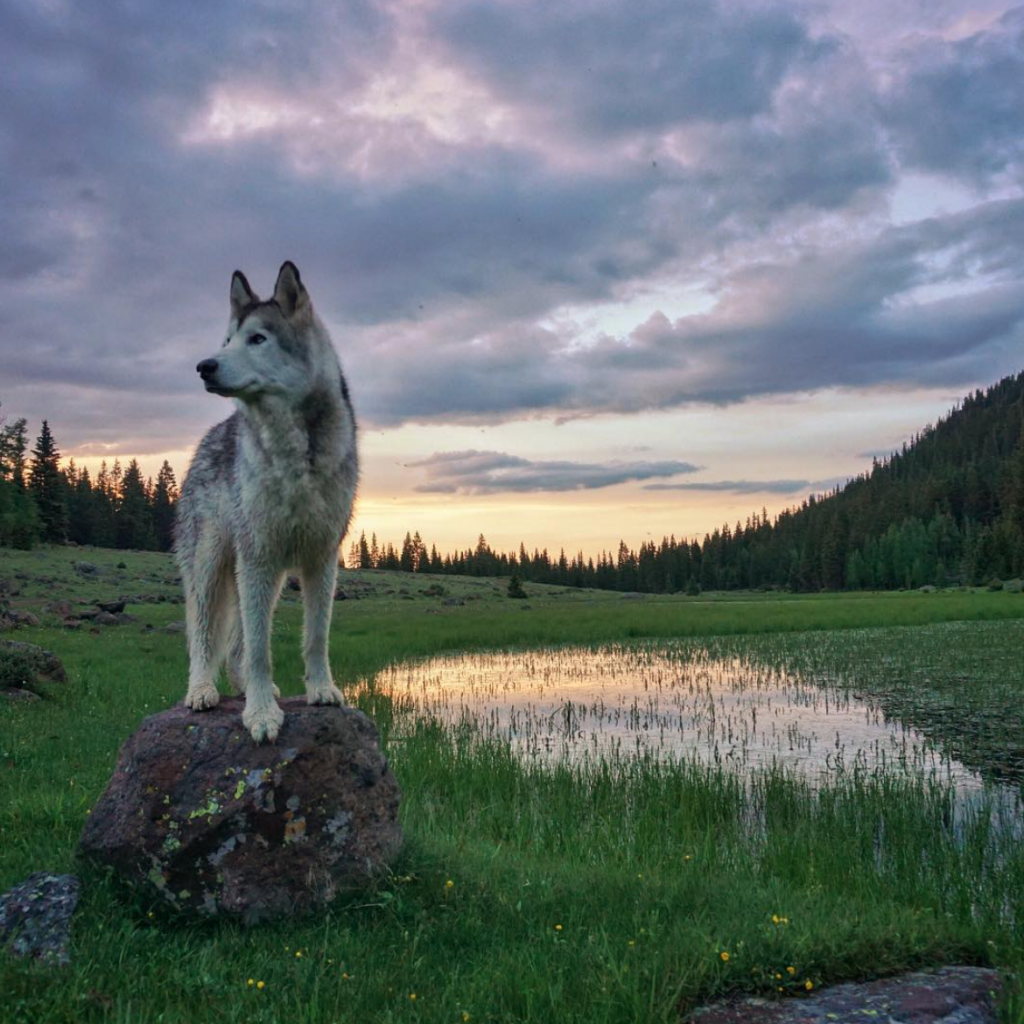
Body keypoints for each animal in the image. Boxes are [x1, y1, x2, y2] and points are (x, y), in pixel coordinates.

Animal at [179, 264, 360, 745]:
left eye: (257, 338)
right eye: (227, 340)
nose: (204, 366)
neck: (297, 455)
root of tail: (211, 436)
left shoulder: (321, 559)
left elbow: (316, 637)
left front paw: (322, 691)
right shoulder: (257, 557)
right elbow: (261, 649)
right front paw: (261, 715)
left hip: (267, 578)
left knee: (236, 644)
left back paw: (241, 687)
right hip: (214, 568)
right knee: (204, 637)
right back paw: (201, 691)